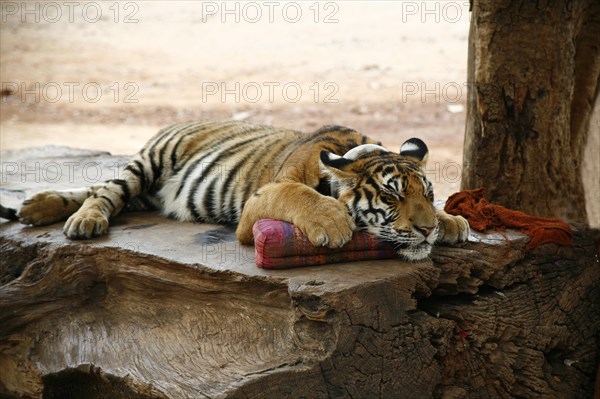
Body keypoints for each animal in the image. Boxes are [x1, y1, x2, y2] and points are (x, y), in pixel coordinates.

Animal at [10, 122, 468, 262]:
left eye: (428, 195)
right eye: (391, 197)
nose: (426, 231)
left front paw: (452, 222)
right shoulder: (259, 200)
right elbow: (297, 194)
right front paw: (333, 222)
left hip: (144, 190)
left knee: (99, 188)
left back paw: (34, 206)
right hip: (149, 163)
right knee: (105, 190)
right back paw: (83, 220)